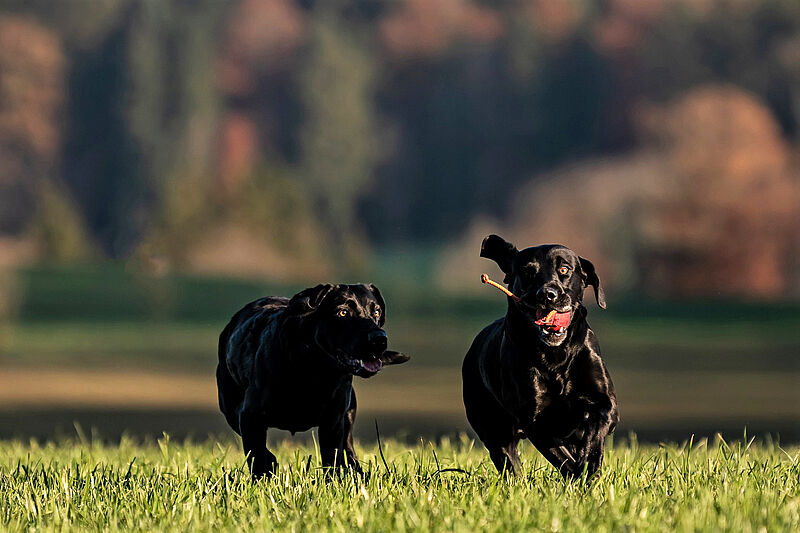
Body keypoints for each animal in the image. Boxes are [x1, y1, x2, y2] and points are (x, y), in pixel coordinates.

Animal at [217, 282, 410, 478]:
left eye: (376, 311)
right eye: (343, 312)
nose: (379, 338)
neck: (315, 370)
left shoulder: (333, 421)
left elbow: (331, 459)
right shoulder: (249, 416)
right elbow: (257, 457)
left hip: (348, 414)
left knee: (348, 449)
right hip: (231, 409)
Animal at [462, 235, 620, 480]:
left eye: (564, 269)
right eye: (528, 272)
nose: (547, 294)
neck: (556, 357)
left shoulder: (604, 402)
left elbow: (595, 432)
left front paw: (590, 464)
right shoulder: (536, 421)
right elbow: (563, 459)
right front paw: (579, 474)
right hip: (494, 430)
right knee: (510, 463)